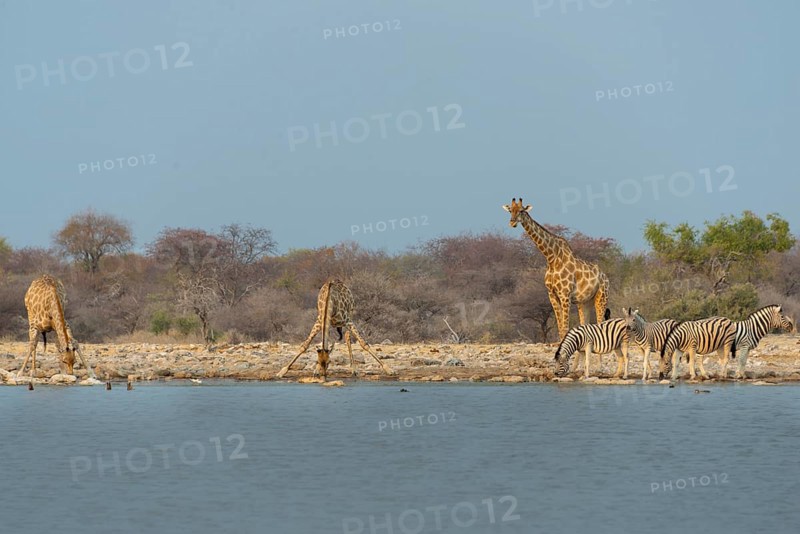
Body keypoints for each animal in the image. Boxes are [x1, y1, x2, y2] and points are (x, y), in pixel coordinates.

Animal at [503, 197, 610, 342]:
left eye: (521, 211)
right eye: (510, 210)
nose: (512, 222)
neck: (551, 258)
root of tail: (605, 277)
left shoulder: (565, 294)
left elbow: (565, 327)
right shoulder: (552, 295)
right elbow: (560, 328)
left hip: (602, 297)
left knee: (600, 323)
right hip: (584, 302)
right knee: (586, 324)